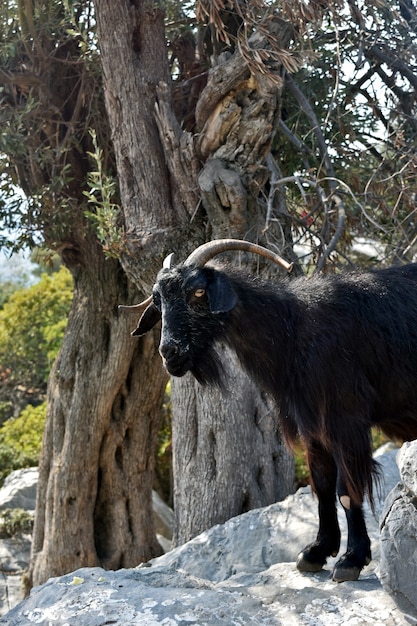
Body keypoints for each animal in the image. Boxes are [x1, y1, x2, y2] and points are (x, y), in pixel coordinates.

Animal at [127, 238, 416, 580]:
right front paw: (316, 551)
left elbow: (346, 490)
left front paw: (351, 559)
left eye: (197, 292)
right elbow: (321, 486)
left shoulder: (345, 419)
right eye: (158, 302)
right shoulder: (312, 426)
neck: (291, 330)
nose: (169, 353)